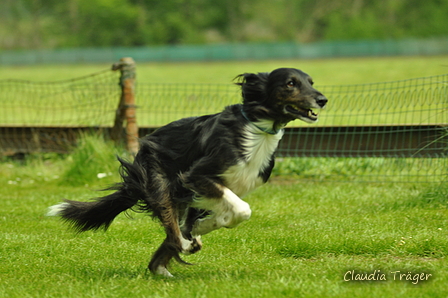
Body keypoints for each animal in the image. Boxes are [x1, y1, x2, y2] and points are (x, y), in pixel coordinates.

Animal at [47, 67, 328, 278]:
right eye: (290, 83)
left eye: (311, 82)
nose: (322, 99)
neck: (257, 130)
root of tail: (143, 146)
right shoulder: (197, 177)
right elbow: (241, 210)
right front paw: (206, 227)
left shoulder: (215, 190)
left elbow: (217, 215)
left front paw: (207, 225)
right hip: (161, 182)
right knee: (173, 230)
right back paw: (181, 246)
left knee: (169, 243)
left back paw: (165, 266)